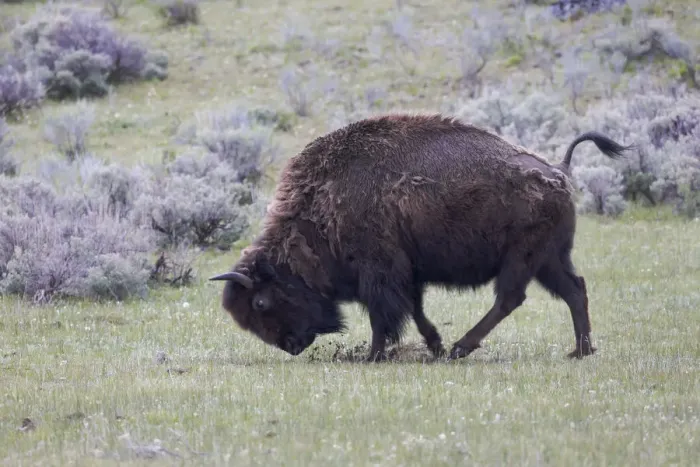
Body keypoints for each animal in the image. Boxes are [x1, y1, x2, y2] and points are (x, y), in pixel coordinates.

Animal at [210, 113, 631, 362]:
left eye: (261, 302)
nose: (291, 345)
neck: (320, 210)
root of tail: (558, 171)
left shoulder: (380, 274)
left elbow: (383, 317)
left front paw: (374, 356)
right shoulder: (407, 275)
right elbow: (416, 311)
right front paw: (433, 345)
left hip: (524, 257)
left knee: (511, 298)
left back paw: (463, 348)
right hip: (550, 259)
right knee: (574, 289)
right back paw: (578, 351)